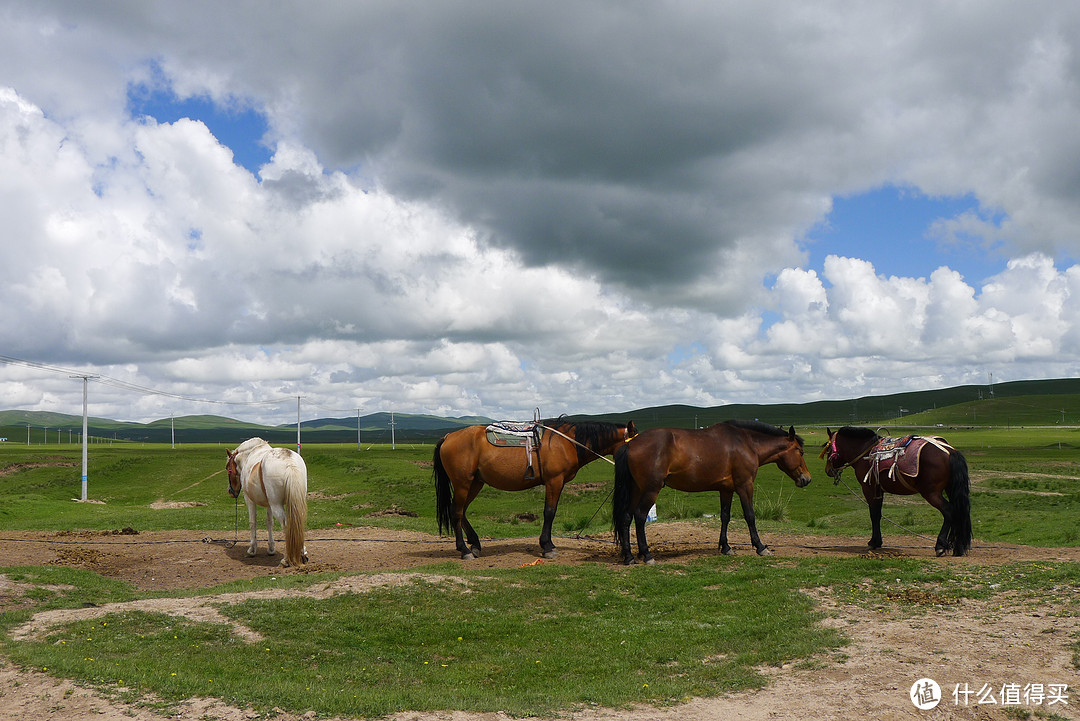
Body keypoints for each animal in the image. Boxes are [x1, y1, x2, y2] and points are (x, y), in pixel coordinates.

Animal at [225, 436, 311, 565]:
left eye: (228, 469)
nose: (230, 491)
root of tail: (290, 463)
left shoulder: (249, 500)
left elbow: (253, 522)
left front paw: (252, 549)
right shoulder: (269, 504)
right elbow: (269, 522)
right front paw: (271, 548)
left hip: (276, 505)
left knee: (287, 525)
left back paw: (287, 559)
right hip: (293, 503)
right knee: (298, 522)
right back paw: (302, 554)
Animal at [429, 414, 630, 561]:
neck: (568, 443)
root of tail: (448, 437)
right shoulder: (554, 481)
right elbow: (549, 512)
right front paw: (547, 547)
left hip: (475, 483)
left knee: (462, 511)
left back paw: (475, 545)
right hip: (462, 483)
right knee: (456, 512)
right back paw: (465, 550)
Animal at [613, 418, 812, 565]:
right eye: (800, 451)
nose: (807, 479)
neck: (747, 443)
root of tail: (631, 444)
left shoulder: (726, 490)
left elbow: (725, 516)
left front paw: (726, 547)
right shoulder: (745, 486)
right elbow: (750, 516)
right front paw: (760, 547)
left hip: (636, 490)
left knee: (626, 517)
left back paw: (629, 556)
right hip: (650, 490)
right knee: (639, 517)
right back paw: (647, 555)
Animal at [820, 427, 976, 556]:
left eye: (828, 450)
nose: (828, 470)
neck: (864, 452)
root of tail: (950, 451)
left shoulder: (869, 489)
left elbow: (873, 514)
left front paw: (873, 542)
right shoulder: (878, 490)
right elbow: (878, 514)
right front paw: (877, 541)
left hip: (931, 493)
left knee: (948, 511)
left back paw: (940, 546)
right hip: (949, 489)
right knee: (958, 512)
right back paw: (957, 547)